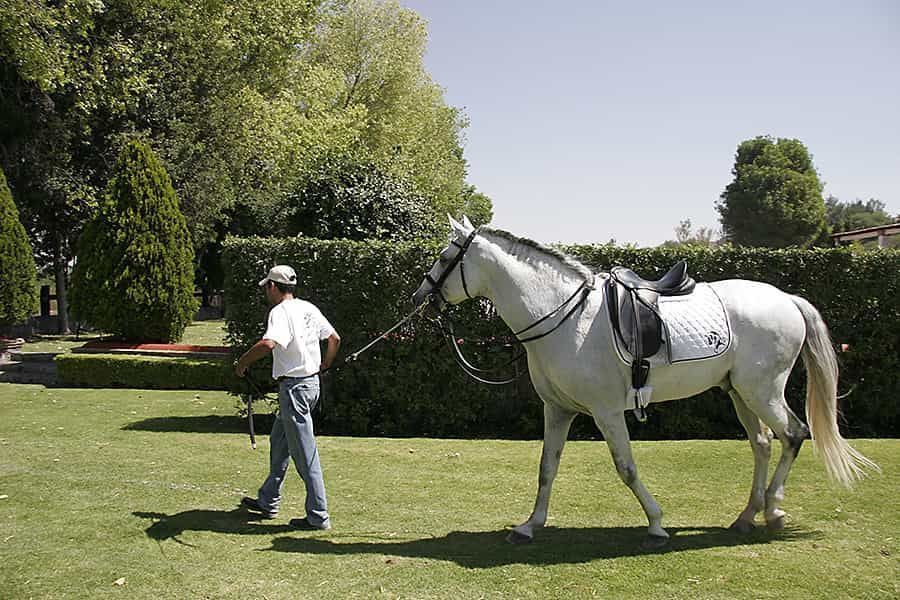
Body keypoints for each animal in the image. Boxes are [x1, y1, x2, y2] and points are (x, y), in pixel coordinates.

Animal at [414, 217, 880, 548]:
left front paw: (656, 524)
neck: (566, 315)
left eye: (445, 257)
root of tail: (787, 299)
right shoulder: (558, 410)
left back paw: (774, 512)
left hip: (763, 391)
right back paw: (748, 515)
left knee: (794, 434)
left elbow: (626, 468)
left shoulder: (605, 413)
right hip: (739, 393)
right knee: (764, 444)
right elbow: (547, 468)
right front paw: (530, 526)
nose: (420, 297)